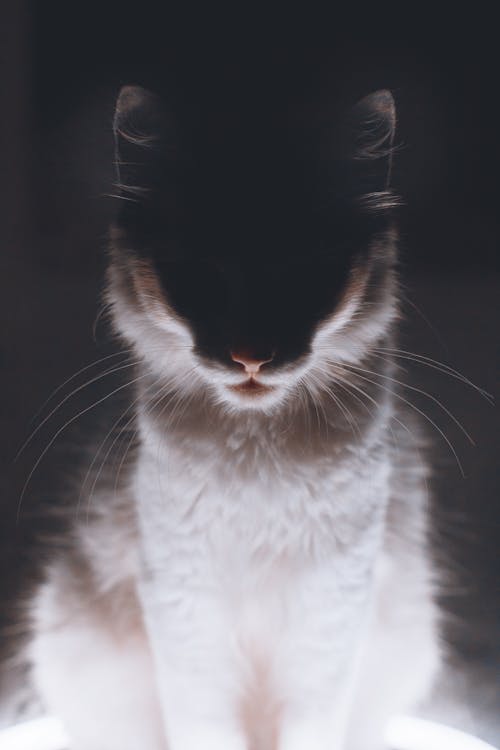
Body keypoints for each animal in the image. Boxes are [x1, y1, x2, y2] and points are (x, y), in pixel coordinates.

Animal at [25, 85, 440, 748]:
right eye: (201, 276)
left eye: (302, 275)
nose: (251, 357)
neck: (257, 462)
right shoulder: (186, 607)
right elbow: (206, 726)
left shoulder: (331, 605)